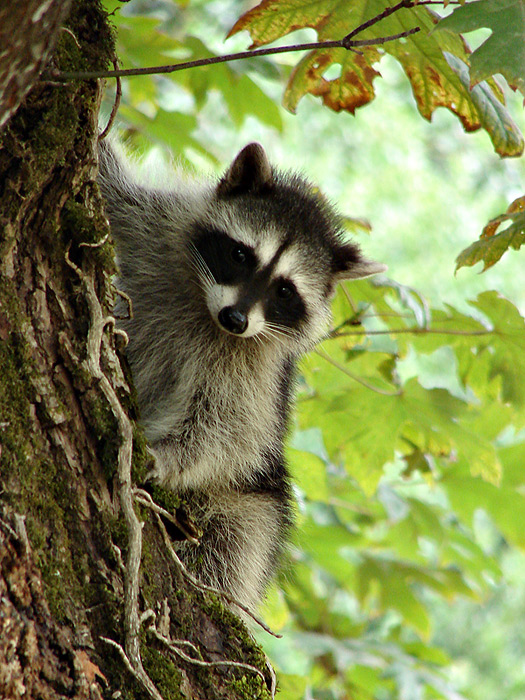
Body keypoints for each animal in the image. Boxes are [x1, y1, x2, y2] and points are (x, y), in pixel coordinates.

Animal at [97, 140, 385, 616]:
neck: (206, 306)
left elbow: (228, 429)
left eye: (284, 290)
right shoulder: (153, 223)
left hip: (256, 495)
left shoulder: (256, 372)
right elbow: (112, 189)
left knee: (239, 535)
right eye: (240, 255)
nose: (235, 319)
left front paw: (165, 455)